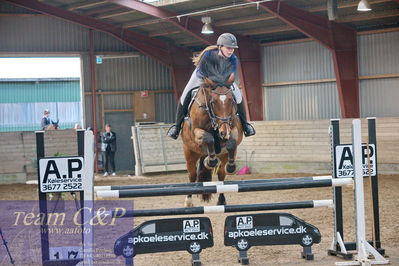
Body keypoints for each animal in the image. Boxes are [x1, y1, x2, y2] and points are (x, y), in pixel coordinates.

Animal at [181, 53, 244, 207]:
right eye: (213, 102)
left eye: (231, 101)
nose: (224, 132)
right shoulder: (196, 133)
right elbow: (208, 138)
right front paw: (210, 161)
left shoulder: (234, 130)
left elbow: (232, 143)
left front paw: (231, 166)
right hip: (190, 153)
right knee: (192, 175)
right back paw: (188, 201)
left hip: (222, 155)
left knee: (221, 174)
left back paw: (221, 199)